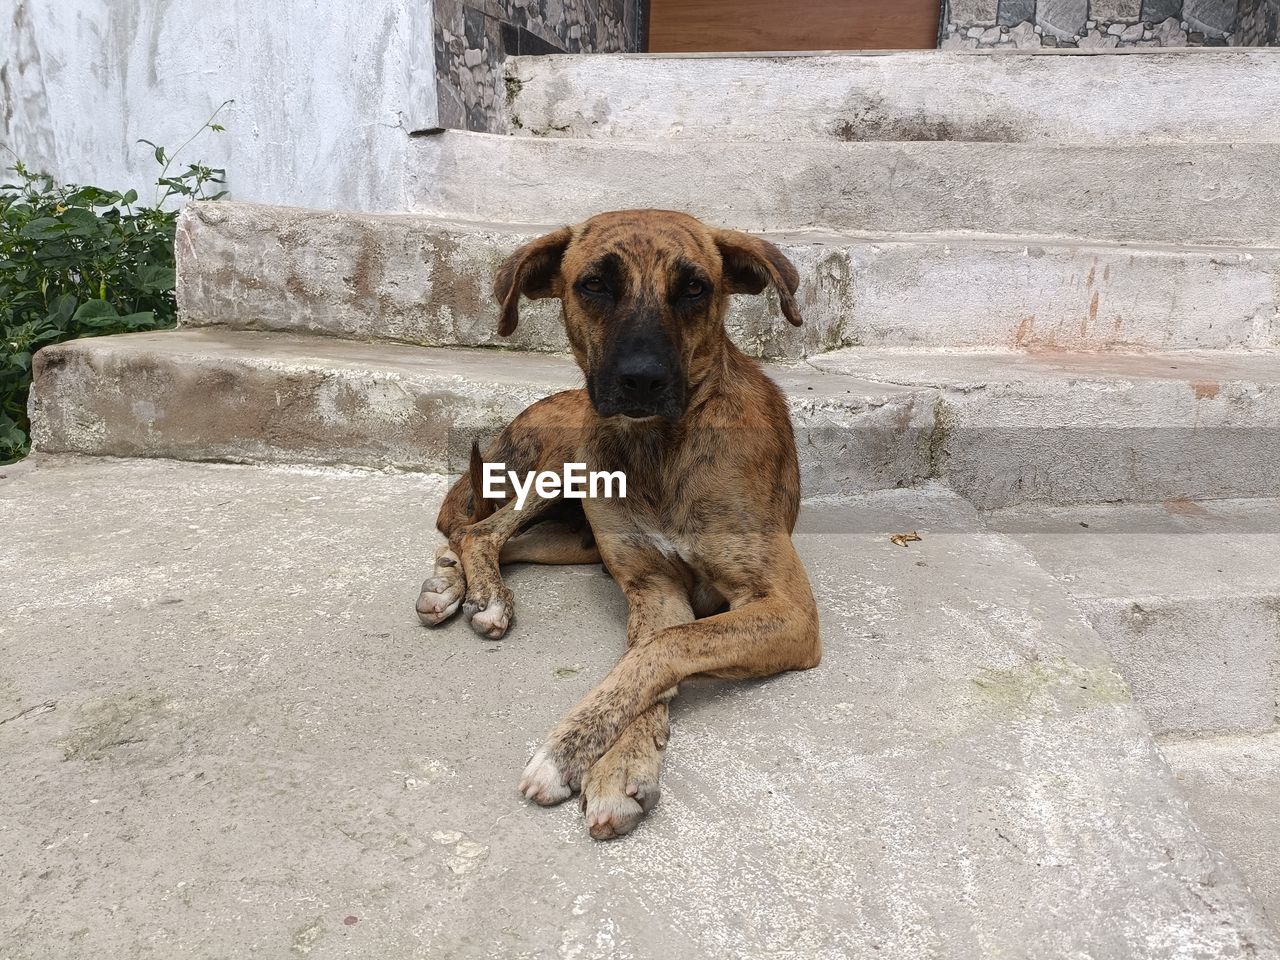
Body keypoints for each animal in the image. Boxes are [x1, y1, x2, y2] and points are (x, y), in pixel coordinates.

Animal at [417, 208, 819, 839]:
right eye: (594, 285)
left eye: (695, 288)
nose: (642, 380)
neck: (658, 449)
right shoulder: (654, 590)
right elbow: (654, 650)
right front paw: (595, 754)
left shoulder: (785, 608)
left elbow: (661, 651)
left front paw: (587, 758)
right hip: (565, 461)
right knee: (481, 528)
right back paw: (480, 593)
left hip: (576, 541)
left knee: (491, 538)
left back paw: (456, 584)